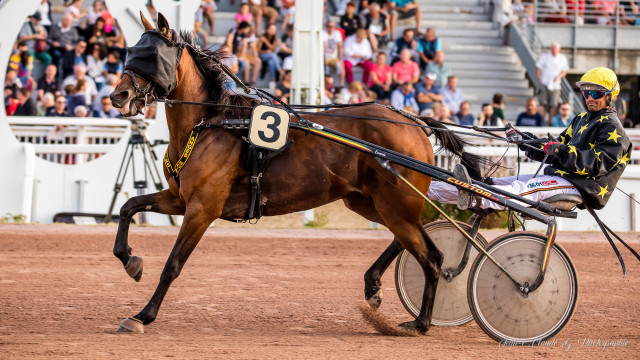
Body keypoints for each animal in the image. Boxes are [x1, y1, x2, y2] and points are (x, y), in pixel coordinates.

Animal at [110, 13, 484, 334]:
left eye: (151, 55)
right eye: (132, 50)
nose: (118, 95)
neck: (213, 123)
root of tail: (415, 121)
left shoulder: (203, 208)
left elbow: (173, 264)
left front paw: (143, 315)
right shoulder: (178, 199)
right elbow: (128, 207)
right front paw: (130, 260)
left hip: (395, 204)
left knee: (432, 257)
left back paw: (420, 323)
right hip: (368, 201)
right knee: (403, 240)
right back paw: (374, 285)